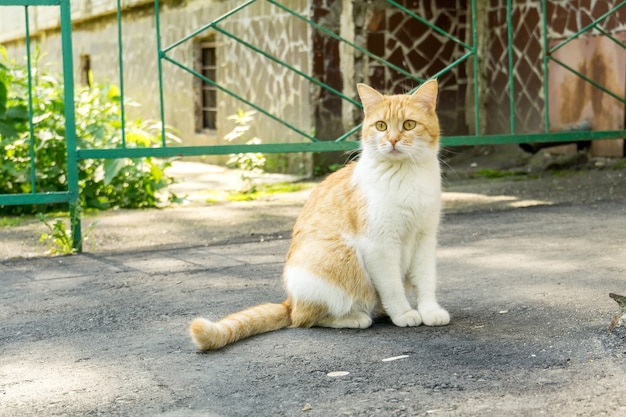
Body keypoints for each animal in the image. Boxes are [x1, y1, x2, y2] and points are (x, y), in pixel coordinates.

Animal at [190, 79, 448, 350]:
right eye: (381, 126)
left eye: (409, 124)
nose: (393, 140)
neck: (406, 176)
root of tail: (290, 301)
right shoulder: (380, 245)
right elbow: (392, 286)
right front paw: (403, 313)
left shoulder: (425, 237)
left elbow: (426, 279)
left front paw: (430, 311)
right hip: (334, 264)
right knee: (305, 318)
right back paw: (356, 317)